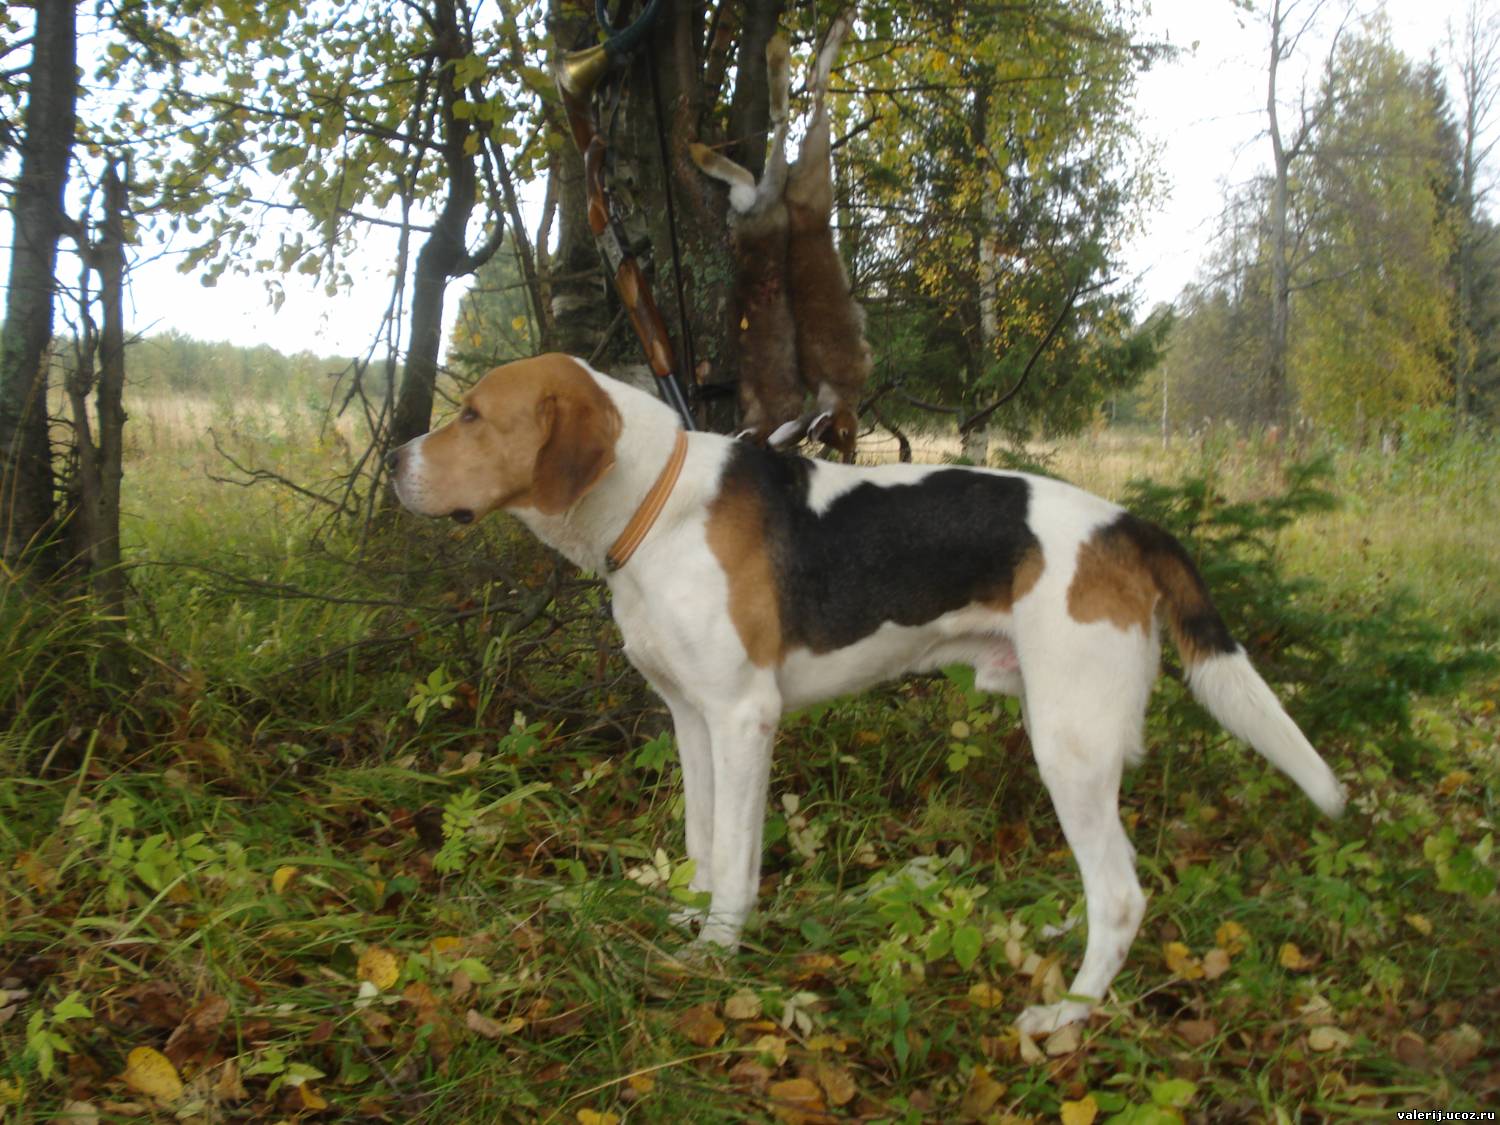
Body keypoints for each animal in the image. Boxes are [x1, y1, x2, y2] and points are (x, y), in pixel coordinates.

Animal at [386, 354, 1347, 1034]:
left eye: (472, 414)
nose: (393, 460)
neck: (654, 503)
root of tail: (1129, 524)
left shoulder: (745, 717)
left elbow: (735, 859)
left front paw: (718, 955)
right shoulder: (692, 717)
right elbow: (701, 845)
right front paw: (684, 924)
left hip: (1070, 744)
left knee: (1120, 894)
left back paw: (1067, 1016)